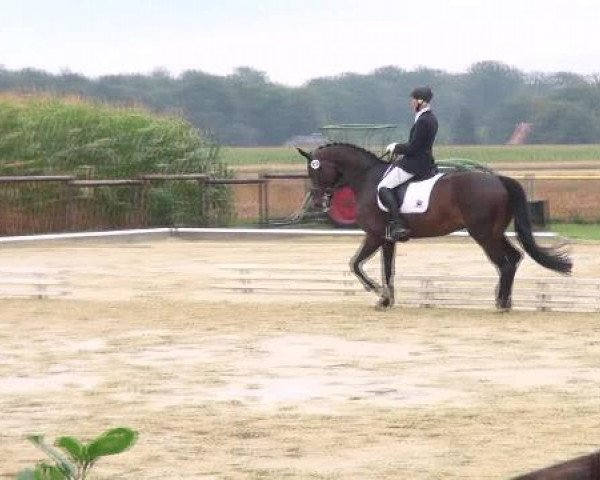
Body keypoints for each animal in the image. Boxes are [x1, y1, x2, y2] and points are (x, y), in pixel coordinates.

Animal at [298, 142, 576, 312]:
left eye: (315, 171)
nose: (319, 202)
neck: (366, 177)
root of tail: (497, 179)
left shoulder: (375, 235)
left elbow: (355, 264)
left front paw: (377, 291)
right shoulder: (387, 239)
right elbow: (388, 269)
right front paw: (387, 299)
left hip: (483, 234)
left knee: (505, 263)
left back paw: (500, 304)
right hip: (494, 232)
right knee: (514, 257)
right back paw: (505, 300)